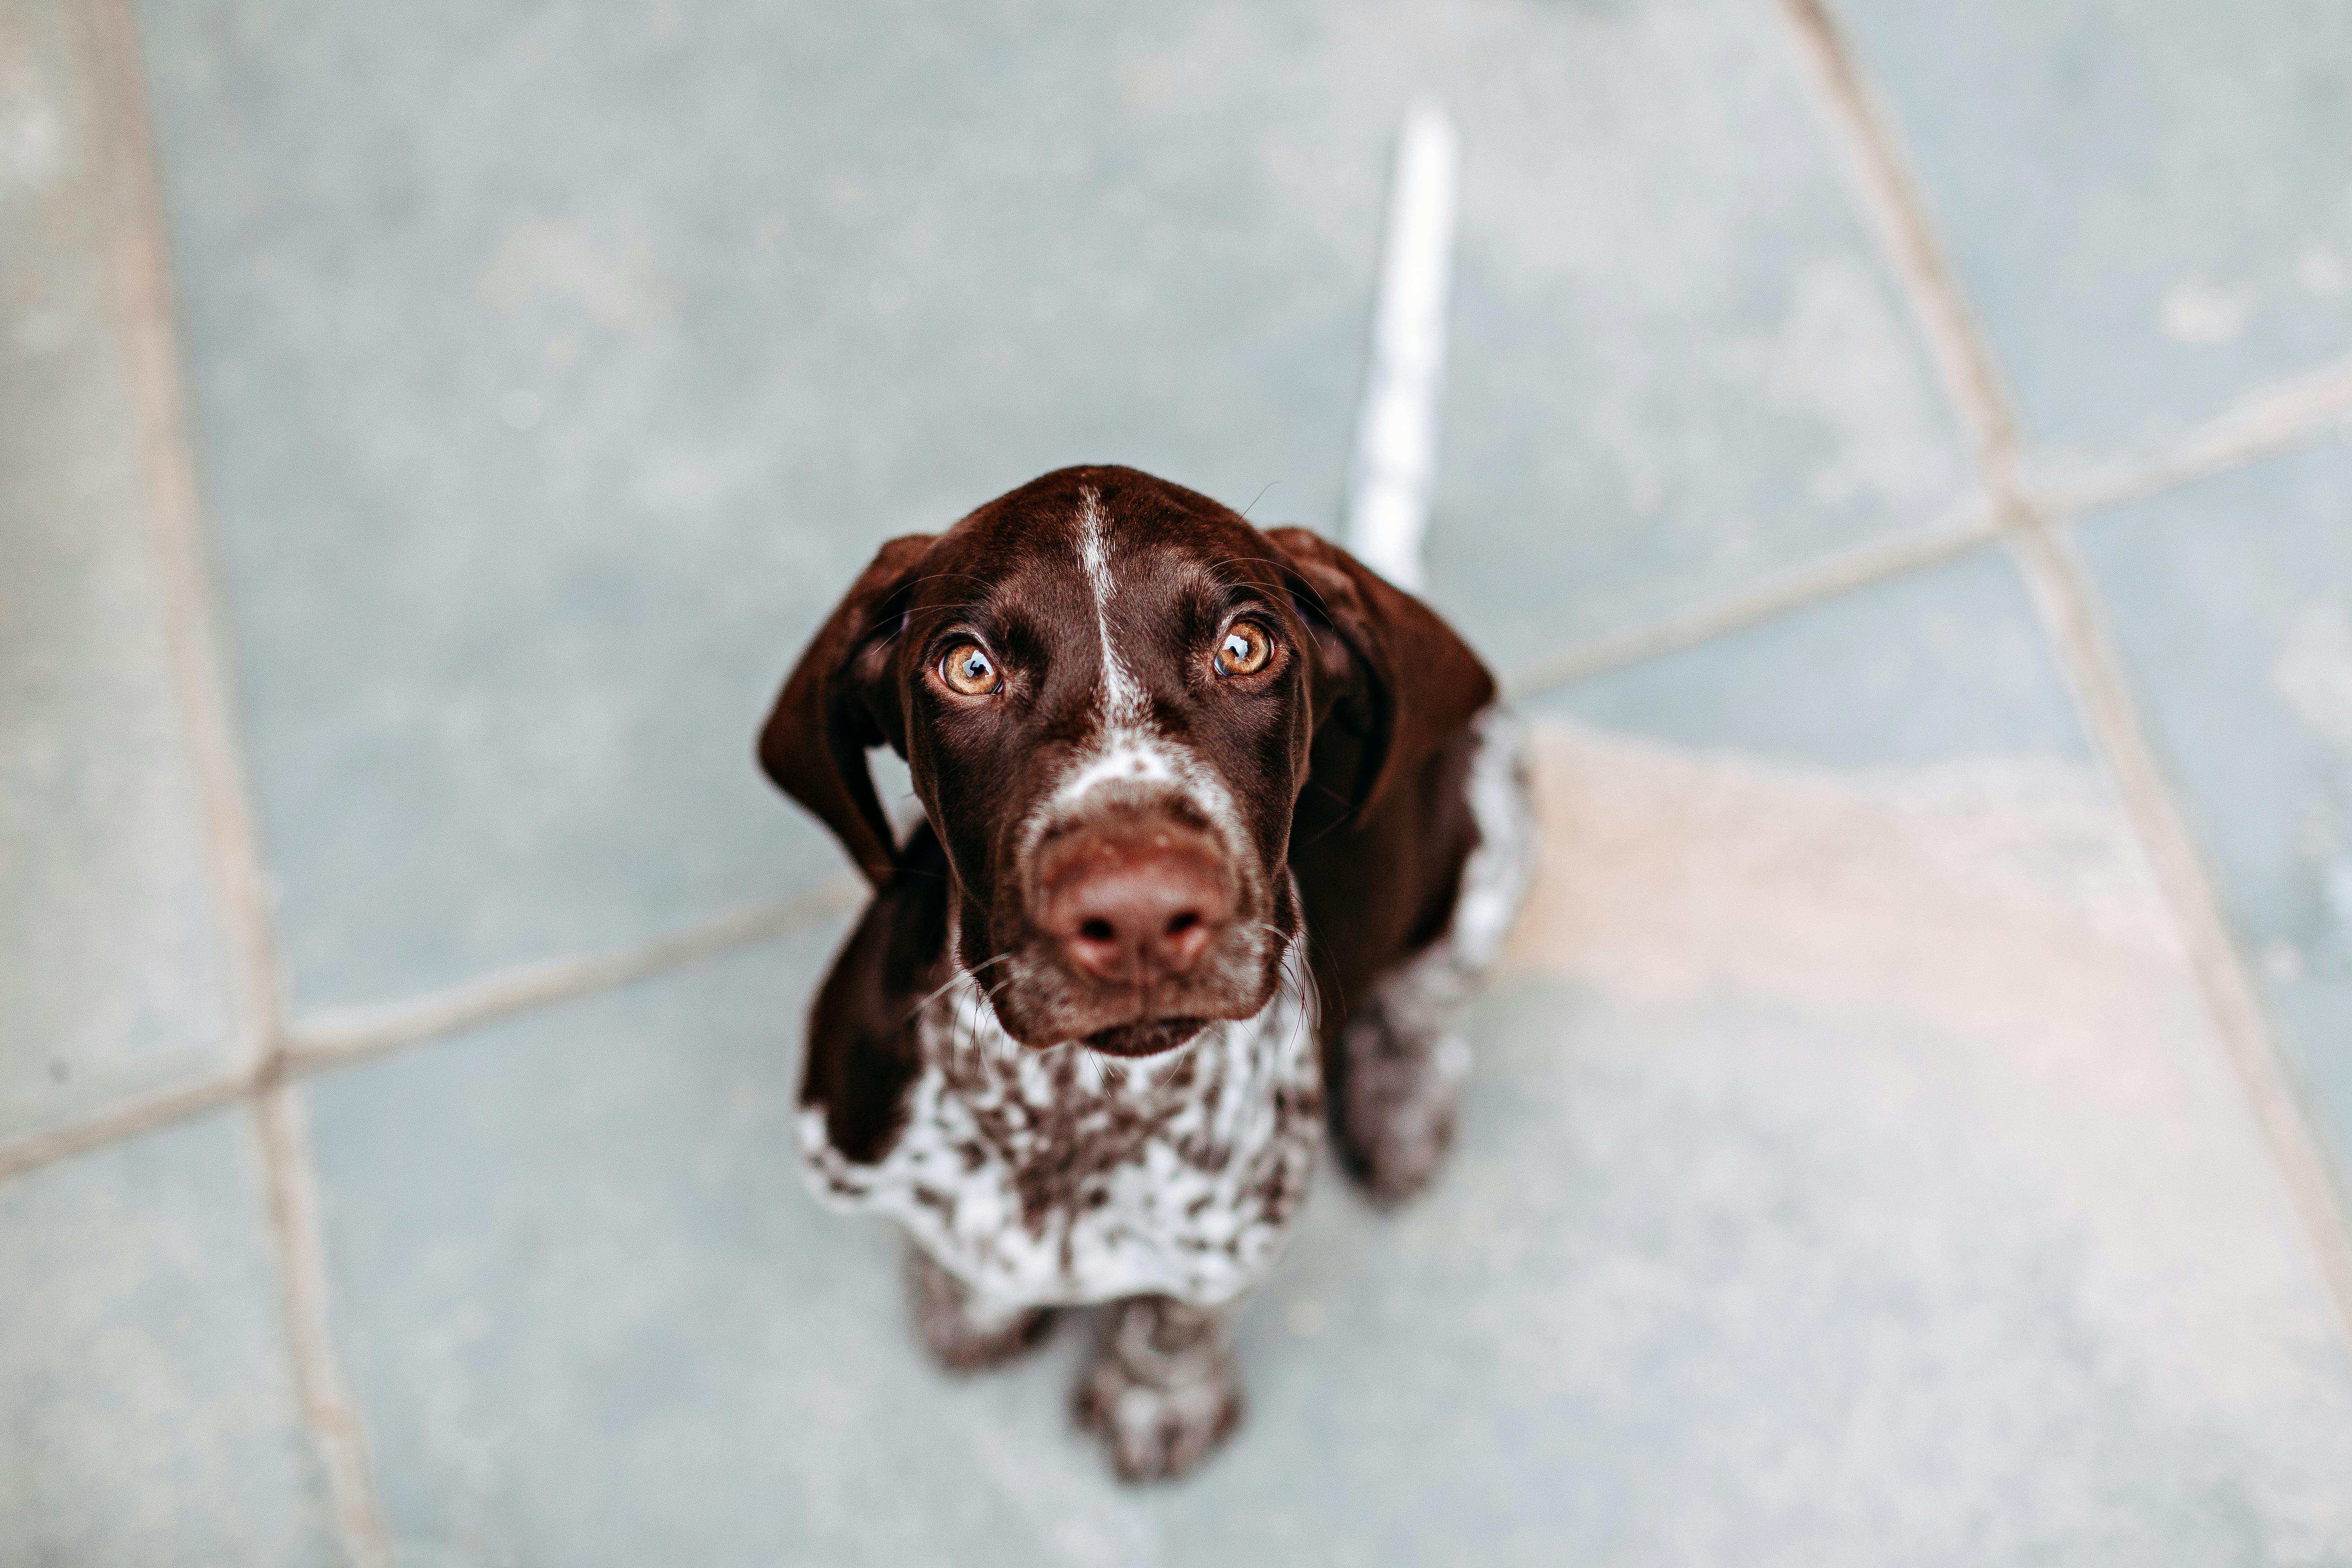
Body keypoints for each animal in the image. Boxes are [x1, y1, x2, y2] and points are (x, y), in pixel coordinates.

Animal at [762, 465, 1533, 1485]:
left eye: (1245, 646)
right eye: (967, 667)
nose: (1136, 913)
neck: (1068, 1105)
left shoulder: (1234, 1238)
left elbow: (1178, 1319)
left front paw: (1155, 1397)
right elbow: (957, 1246)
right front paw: (972, 1299)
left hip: (1494, 839)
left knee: (1423, 1002)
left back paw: (1398, 1099)